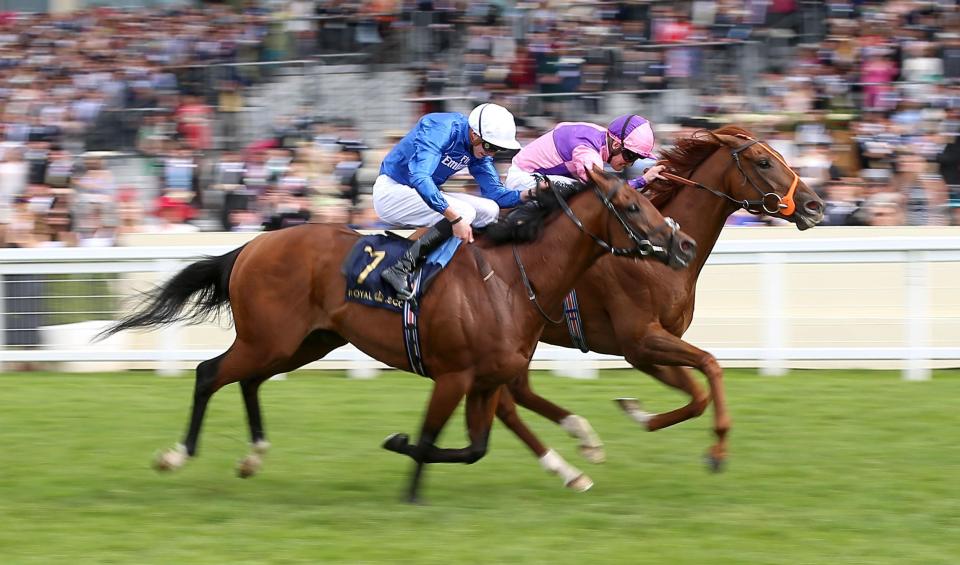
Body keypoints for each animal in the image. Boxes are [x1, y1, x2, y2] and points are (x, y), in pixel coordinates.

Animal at [101, 167, 692, 502]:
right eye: (633, 205)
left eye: (653, 200)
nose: (682, 246)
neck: (510, 278)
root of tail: (250, 245)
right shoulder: (454, 377)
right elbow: (433, 440)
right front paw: (406, 473)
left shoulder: (485, 380)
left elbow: (474, 447)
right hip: (269, 340)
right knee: (208, 374)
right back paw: (177, 455)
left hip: (303, 343)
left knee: (248, 381)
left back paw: (254, 456)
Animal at [496, 124, 824, 480]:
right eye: (764, 162)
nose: (815, 206)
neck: (655, 260)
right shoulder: (641, 340)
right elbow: (710, 364)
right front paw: (717, 451)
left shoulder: (649, 349)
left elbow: (697, 396)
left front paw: (637, 412)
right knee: (506, 399)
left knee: (515, 394)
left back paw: (578, 445)